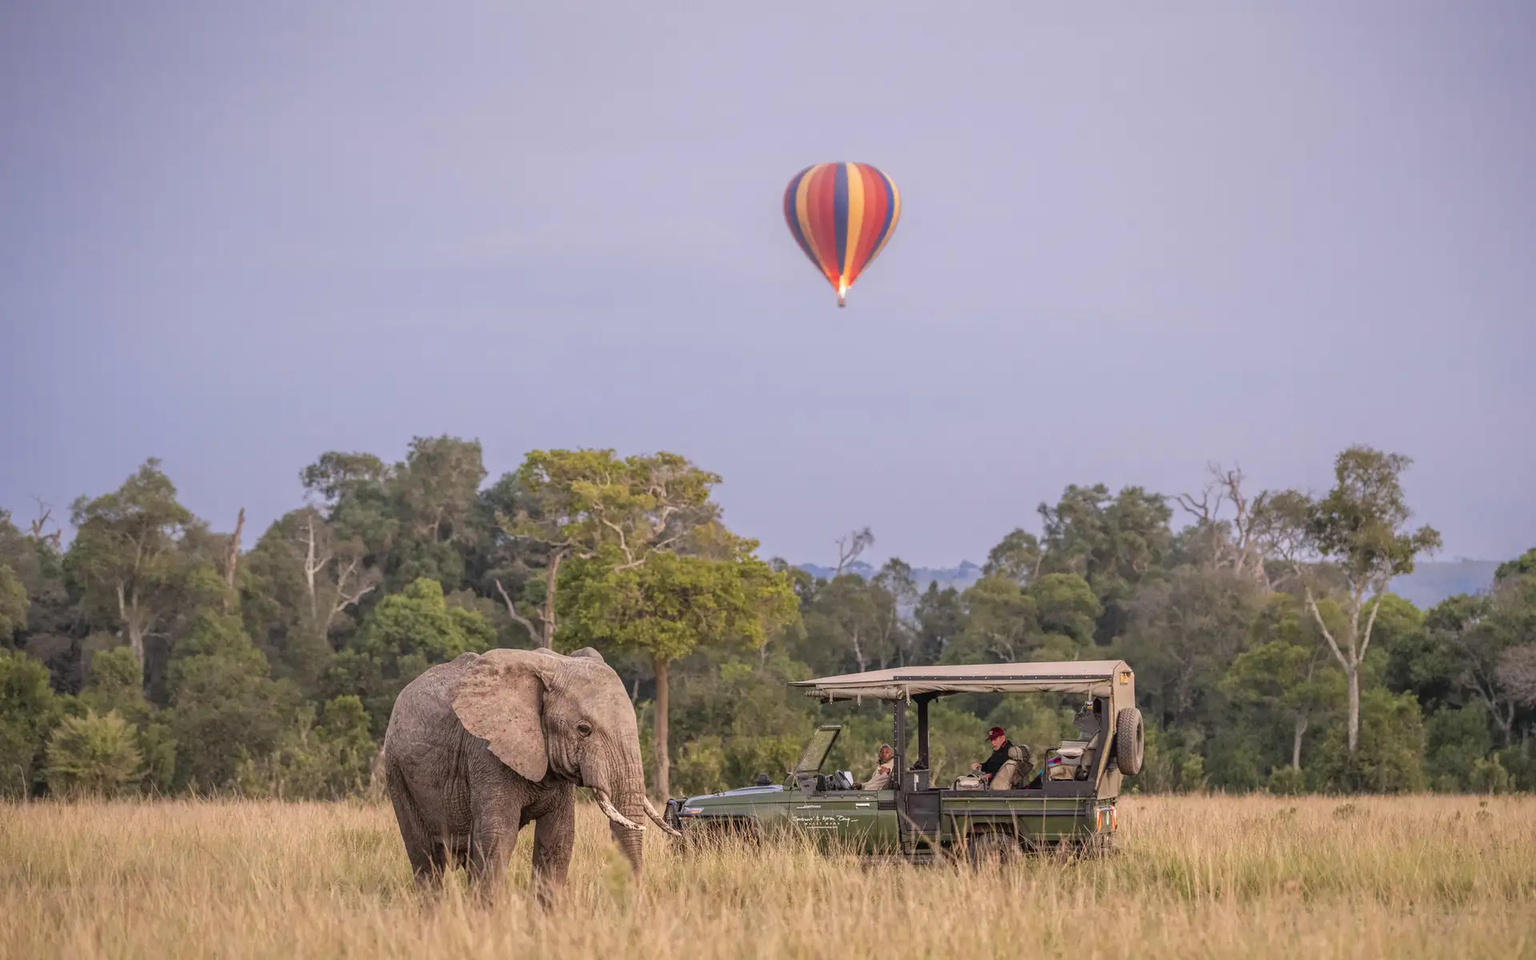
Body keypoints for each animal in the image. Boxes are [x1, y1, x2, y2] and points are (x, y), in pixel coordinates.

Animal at [381, 645, 679, 905]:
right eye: (584, 729)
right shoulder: (486, 753)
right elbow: (498, 837)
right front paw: (491, 919)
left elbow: (558, 838)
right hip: (397, 772)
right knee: (425, 859)